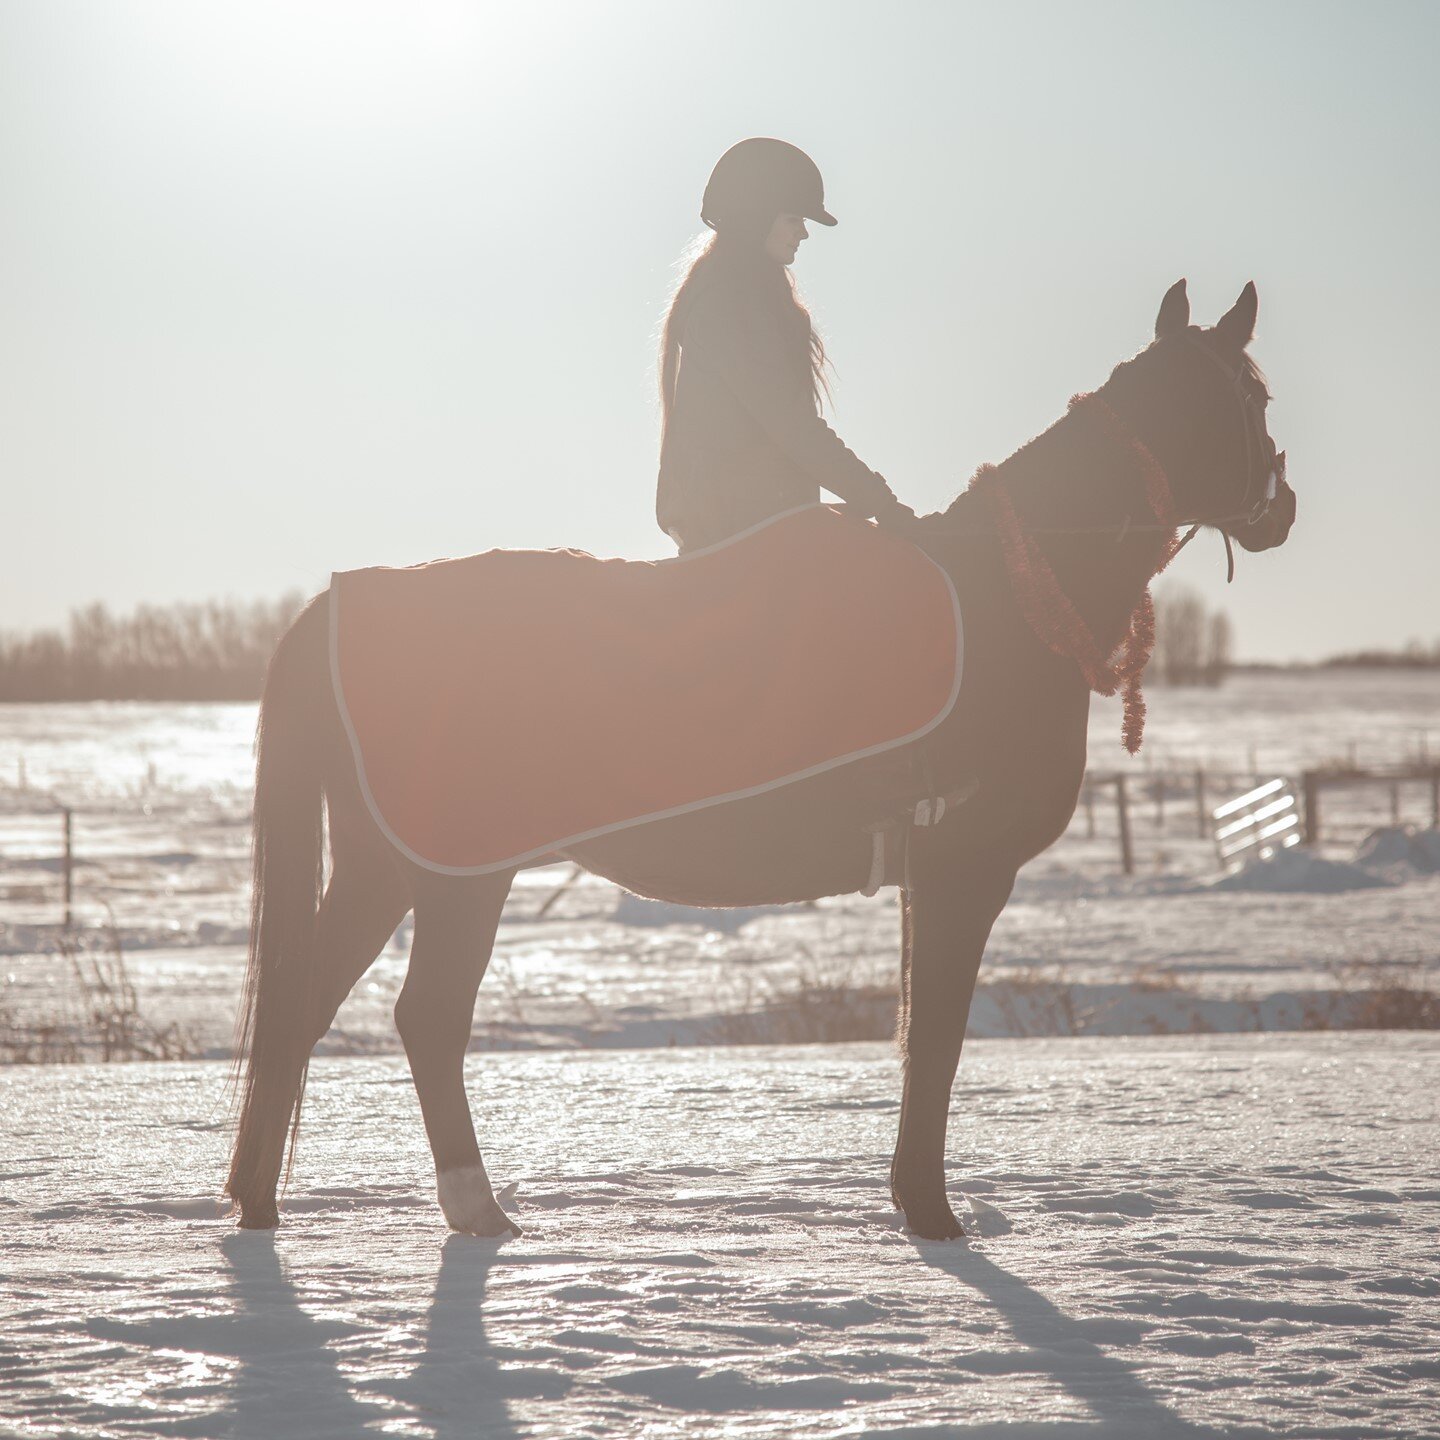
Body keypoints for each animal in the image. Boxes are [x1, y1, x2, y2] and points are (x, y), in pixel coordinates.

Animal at [221, 277, 1296, 1238]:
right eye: (1254, 397)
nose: (1281, 506)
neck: (1008, 597)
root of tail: (344, 604)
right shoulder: (965, 873)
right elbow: (937, 1039)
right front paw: (933, 1213)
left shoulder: (928, 878)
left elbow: (915, 1028)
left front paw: (912, 1203)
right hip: (457, 873)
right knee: (426, 1019)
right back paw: (472, 1207)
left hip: (386, 865)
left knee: (302, 1007)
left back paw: (260, 1203)